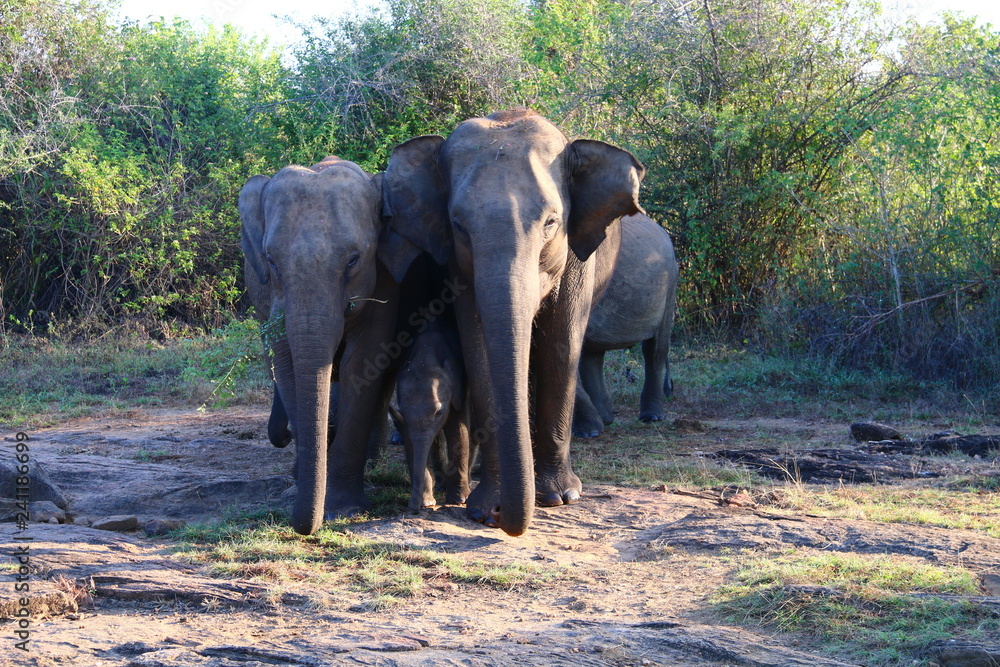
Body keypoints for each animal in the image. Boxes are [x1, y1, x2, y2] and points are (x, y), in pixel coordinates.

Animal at [239, 156, 418, 535]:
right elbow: (287, 363)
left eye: (353, 260)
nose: (303, 527)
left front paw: (342, 509)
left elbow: (362, 361)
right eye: (272, 260)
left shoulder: (382, 278)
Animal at [388, 312, 473, 511]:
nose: (413, 509)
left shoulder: (458, 388)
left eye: (439, 412)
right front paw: (426, 503)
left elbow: (458, 428)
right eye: (402, 412)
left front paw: (459, 500)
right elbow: (413, 439)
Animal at [572, 213, 679, 438]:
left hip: (670, 283)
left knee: (655, 348)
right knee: (593, 354)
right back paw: (605, 419)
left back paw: (651, 417)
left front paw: (587, 433)